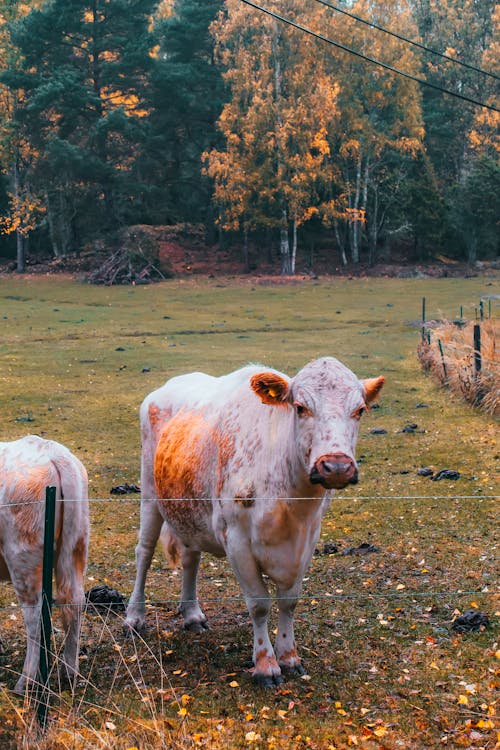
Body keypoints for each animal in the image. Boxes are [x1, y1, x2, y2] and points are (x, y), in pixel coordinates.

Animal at [0, 438, 89, 696]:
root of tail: (53, 451)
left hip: (22, 558)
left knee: (34, 616)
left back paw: (26, 681)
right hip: (76, 546)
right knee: (74, 602)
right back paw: (69, 672)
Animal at [124, 358, 382, 688]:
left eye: (360, 410)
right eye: (300, 407)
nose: (336, 466)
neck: (290, 503)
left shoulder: (307, 540)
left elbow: (289, 601)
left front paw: (289, 656)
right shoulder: (236, 540)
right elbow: (259, 604)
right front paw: (266, 664)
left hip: (191, 509)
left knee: (190, 558)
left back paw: (192, 614)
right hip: (150, 494)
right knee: (143, 553)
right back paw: (134, 617)